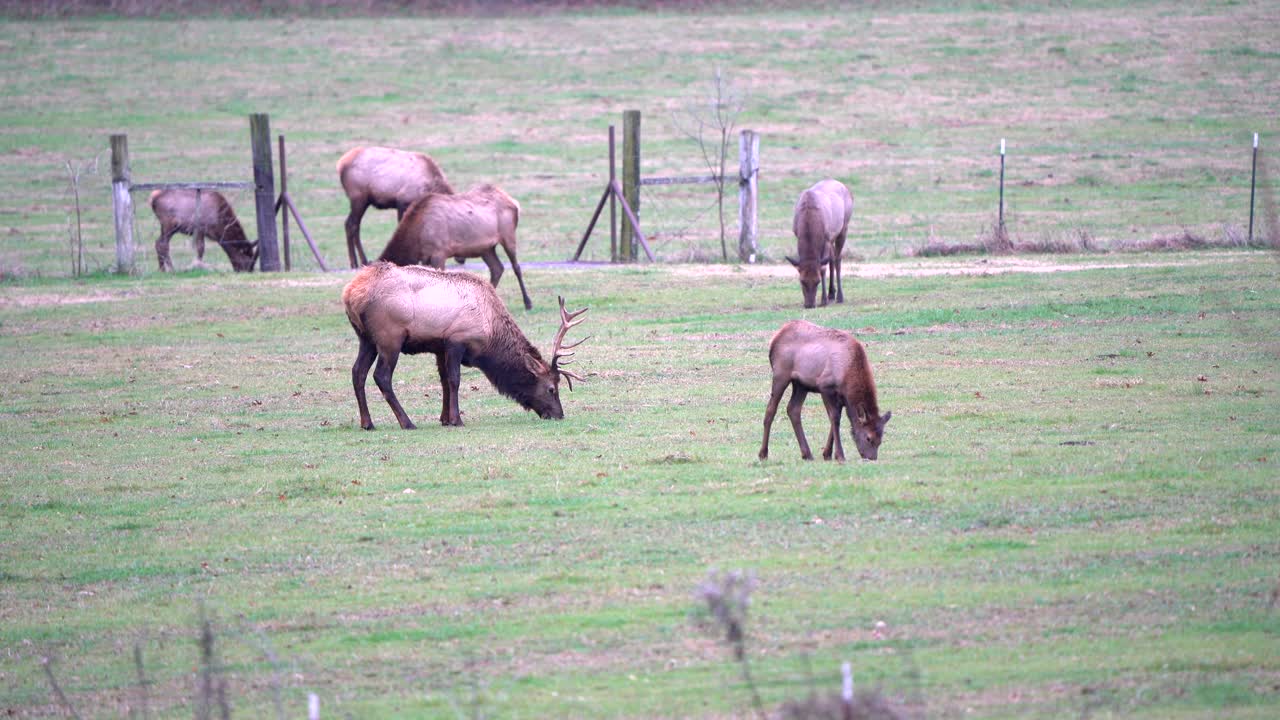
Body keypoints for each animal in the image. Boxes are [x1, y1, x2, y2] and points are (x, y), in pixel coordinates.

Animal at [342, 261, 587, 430]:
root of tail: (350, 294)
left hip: (366, 338)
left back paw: (367, 423)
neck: (490, 334)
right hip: (389, 337)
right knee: (381, 376)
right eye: (552, 388)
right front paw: (457, 419)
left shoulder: (439, 346)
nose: (559, 414)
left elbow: (443, 381)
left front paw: (444, 419)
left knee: (357, 372)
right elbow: (454, 380)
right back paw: (407, 422)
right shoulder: (456, 340)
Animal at [378, 184, 534, 311]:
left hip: (508, 236)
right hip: (486, 248)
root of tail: (514, 202)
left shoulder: (439, 253)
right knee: (497, 268)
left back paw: (528, 303)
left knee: (516, 267)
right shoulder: (425, 257)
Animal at [758, 320, 891, 462]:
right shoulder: (825, 387)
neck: (847, 374)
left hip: (801, 384)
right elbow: (834, 419)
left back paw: (807, 453)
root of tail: (775, 338)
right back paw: (763, 453)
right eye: (868, 438)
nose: (872, 458)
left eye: (880, 440)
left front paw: (827, 453)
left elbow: (835, 420)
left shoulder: (842, 398)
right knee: (771, 409)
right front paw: (839, 455)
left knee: (793, 409)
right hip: (781, 375)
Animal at [787, 179, 853, 309]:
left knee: (837, 259)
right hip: (832, 238)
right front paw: (827, 297)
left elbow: (823, 269)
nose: (809, 304)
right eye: (801, 281)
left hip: (844, 228)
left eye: (817, 281)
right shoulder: (797, 234)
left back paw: (839, 296)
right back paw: (831, 293)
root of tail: (845, 187)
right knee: (832, 259)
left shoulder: (826, 238)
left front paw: (823, 300)